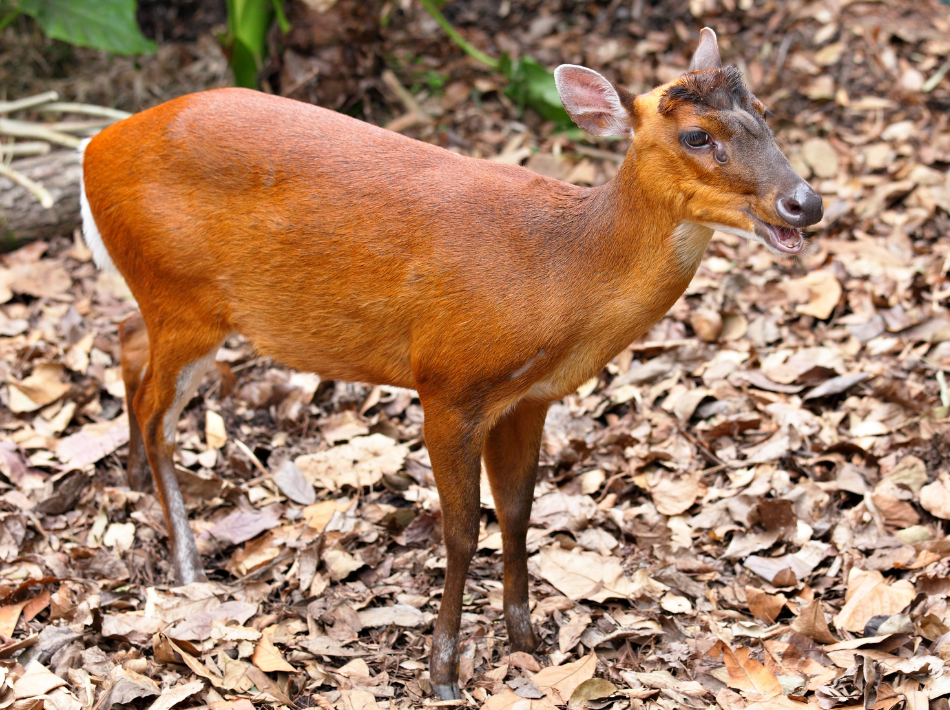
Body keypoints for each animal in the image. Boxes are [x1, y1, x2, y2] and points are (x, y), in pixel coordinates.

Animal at [79, 28, 821, 699]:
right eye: (696, 136)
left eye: (764, 115)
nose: (805, 202)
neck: (560, 274)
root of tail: (92, 149)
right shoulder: (447, 384)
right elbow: (462, 532)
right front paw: (442, 672)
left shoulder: (529, 398)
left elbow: (518, 512)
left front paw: (528, 639)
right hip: (182, 294)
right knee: (155, 410)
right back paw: (187, 565)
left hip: (169, 301)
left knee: (125, 341)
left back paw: (133, 482)